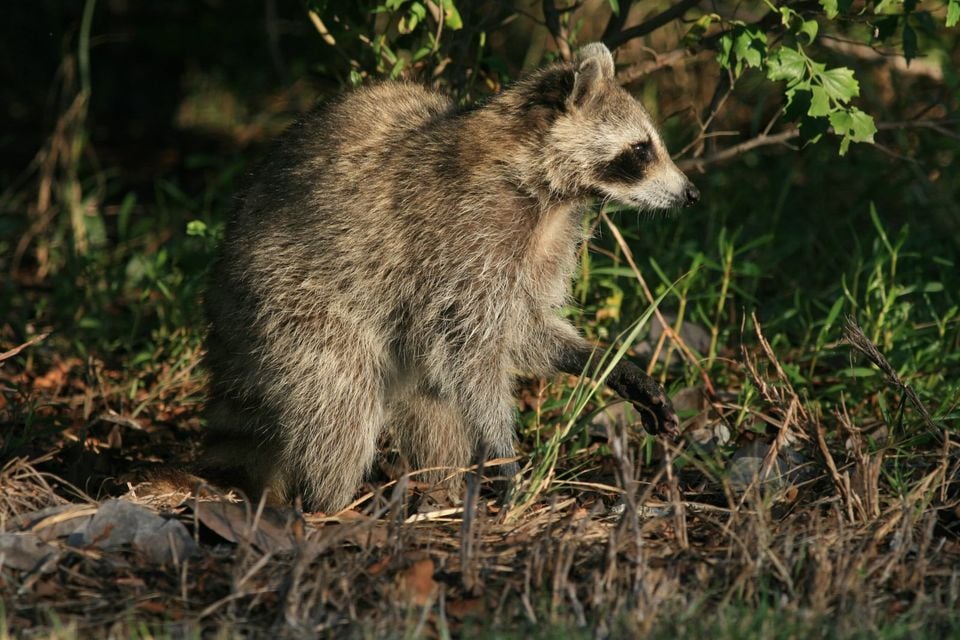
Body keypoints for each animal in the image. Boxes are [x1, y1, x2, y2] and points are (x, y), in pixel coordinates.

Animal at [201, 43, 699, 512]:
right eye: (642, 149)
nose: (692, 193)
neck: (545, 192)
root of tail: (223, 295)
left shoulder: (546, 243)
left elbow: (522, 327)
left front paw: (603, 361)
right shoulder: (463, 236)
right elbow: (472, 349)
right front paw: (502, 452)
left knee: (428, 406)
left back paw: (442, 487)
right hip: (290, 304)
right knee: (341, 400)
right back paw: (335, 502)